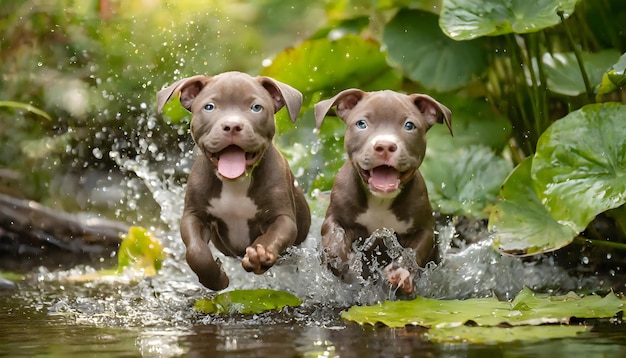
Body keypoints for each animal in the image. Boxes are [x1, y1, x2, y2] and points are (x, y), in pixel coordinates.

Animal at [156, 70, 310, 290]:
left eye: (256, 108)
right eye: (209, 107)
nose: (232, 125)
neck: (235, 182)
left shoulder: (282, 218)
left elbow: (273, 235)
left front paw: (260, 255)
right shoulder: (194, 215)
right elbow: (196, 252)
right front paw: (216, 279)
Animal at [314, 88, 450, 292]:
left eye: (409, 126)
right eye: (361, 124)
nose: (385, 146)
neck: (380, 200)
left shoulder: (424, 229)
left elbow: (413, 252)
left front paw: (401, 274)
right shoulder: (336, 216)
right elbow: (333, 236)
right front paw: (341, 260)